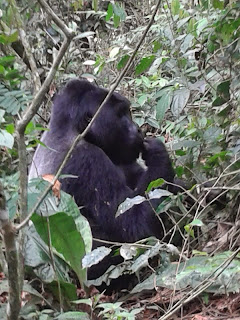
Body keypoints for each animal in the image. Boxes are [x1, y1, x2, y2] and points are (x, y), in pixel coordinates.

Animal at [29, 80, 174, 258]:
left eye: (128, 112)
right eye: (120, 114)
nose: (138, 129)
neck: (69, 128)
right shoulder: (85, 158)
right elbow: (136, 224)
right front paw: (158, 154)